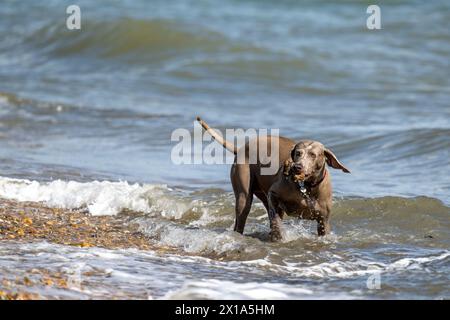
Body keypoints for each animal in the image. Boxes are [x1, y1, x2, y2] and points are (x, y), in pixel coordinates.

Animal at [198, 117, 352, 240]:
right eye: (297, 153)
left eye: (313, 155)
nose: (297, 167)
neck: (306, 187)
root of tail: (242, 148)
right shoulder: (273, 194)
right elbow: (275, 220)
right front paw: (278, 236)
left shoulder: (323, 221)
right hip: (244, 194)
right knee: (242, 216)